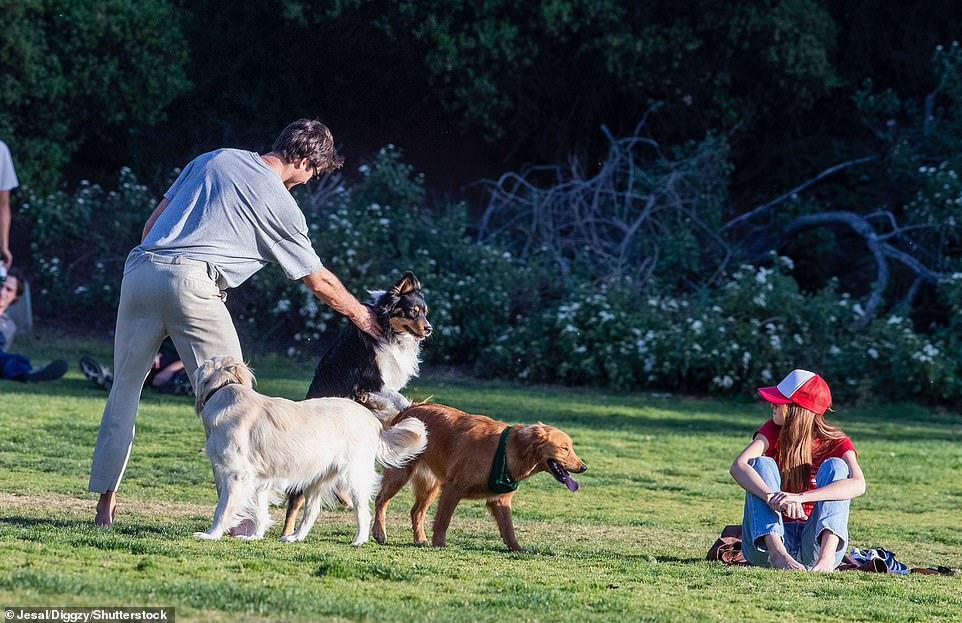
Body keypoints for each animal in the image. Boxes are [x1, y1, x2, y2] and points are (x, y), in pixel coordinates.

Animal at [282, 272, 432, 536]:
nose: (430, 328)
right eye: (413, 311)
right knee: (295, 500)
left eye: (425, 311)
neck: (387, 327)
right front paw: (407, 408)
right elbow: (398, 398)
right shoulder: (368, 383)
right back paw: (287, 533)